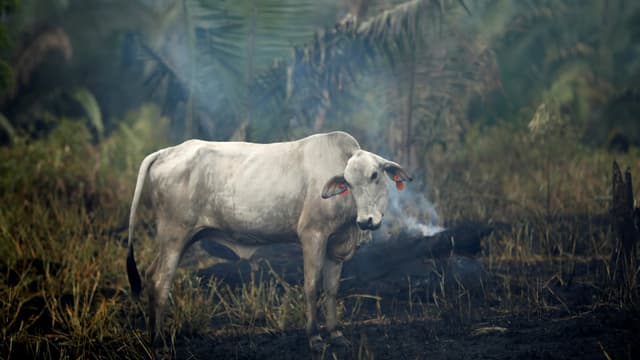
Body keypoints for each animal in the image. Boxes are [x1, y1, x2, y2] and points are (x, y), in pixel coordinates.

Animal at [127, 131, 412, 352]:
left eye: (375, 175)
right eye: (348, 183)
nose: (366, 221)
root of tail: (167, 151)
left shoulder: (335, 245)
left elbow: (331, 289)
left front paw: (335, 334)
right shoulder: (313, 236)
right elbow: (312, 287)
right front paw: (315, 337)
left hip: (180, 238)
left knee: (151, 275)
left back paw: (153, 337)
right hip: (174, 235)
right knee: (160, 281)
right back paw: (159, 342)